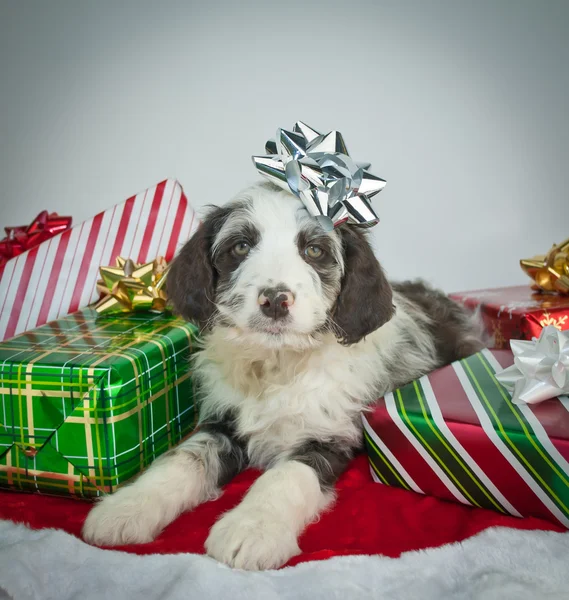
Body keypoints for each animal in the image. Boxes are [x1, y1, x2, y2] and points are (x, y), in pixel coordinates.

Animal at [83, 180, 484, 568]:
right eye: (241, 246)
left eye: (315, 251)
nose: (274, 300)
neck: (277, 365)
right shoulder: (222, 421)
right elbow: (184, 458)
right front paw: (127, 507)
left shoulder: (329, 434)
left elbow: (286, 476)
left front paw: (252, 528)